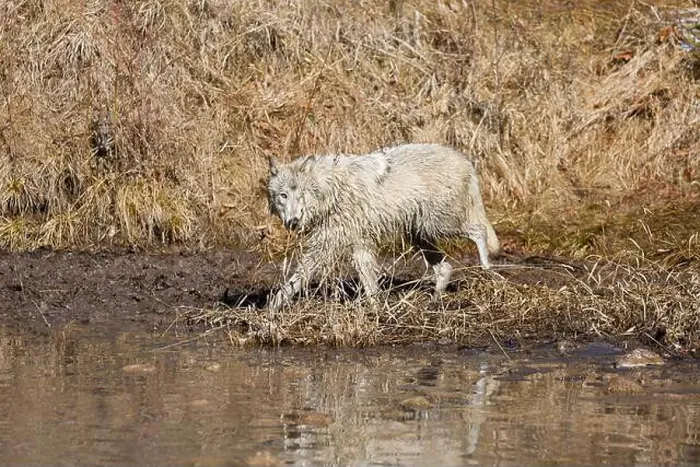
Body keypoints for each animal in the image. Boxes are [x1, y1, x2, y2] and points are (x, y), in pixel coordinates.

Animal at [266, 143, 500, 311]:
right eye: (283, 196)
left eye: (300, 195)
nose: (293, 221)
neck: (330, 188)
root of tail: (466, 161)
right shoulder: (358, 245)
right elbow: (369, 282)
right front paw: (377, 308)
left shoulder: (326, 245)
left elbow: (296, 280)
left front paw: (271, 309)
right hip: (420, 234)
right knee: (445, 268)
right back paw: (433, 301)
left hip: (439, 226)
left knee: (479, 231)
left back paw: (486, 267)